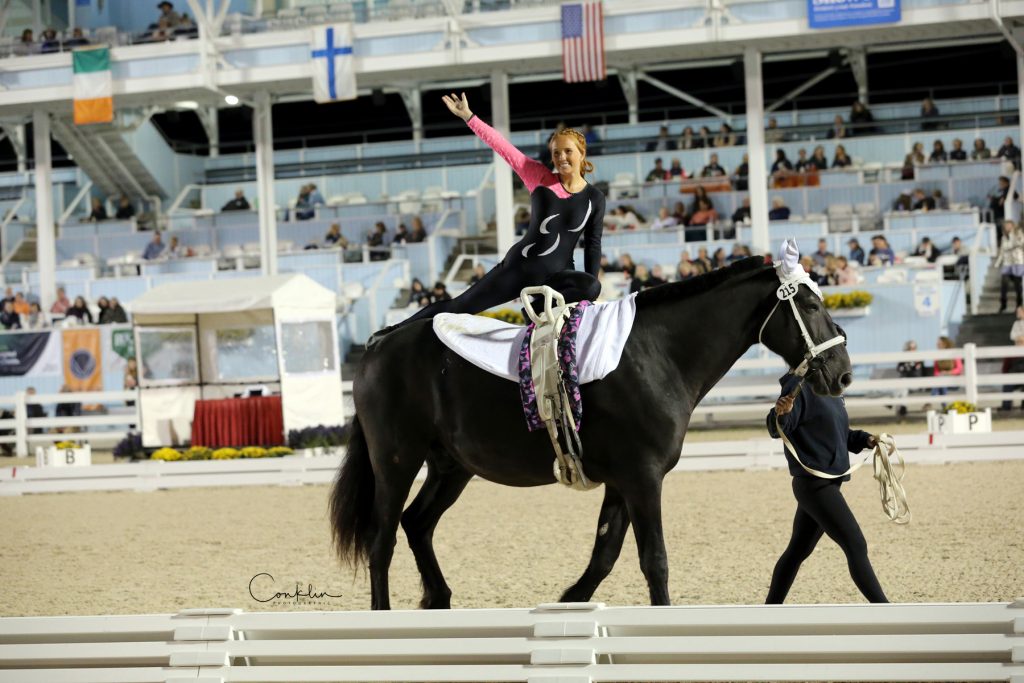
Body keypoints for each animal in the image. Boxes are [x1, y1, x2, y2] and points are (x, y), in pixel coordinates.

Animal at [331, 255, 851, 610]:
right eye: (809, 303)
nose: (842, 373)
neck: (658, 353)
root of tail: (377, 345)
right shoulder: (643, 479)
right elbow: (654, 560)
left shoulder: (622, 482)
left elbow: (604, 556)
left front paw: (568, 604)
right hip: (396, 462)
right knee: (381, 541)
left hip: (450, 467)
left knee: (417, 524)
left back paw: (437, 600)